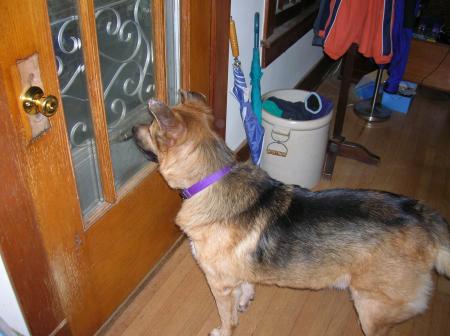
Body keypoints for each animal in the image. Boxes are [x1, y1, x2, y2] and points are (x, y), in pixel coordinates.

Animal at [134, 90, 450, 334]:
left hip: (372, 307)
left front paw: (223, 330)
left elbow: (228, 318)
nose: (131, 130)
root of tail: (422, 218)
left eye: (150, 128)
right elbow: (246, 285)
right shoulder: (238, 273)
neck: (211, 178)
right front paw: (246, 298)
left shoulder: (219, 285)